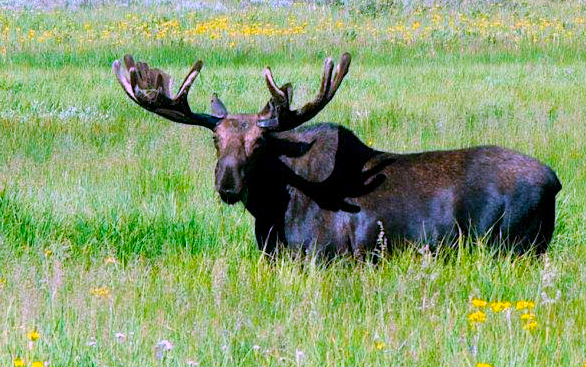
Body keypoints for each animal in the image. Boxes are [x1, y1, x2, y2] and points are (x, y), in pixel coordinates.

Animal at [112, 53, 560, 258]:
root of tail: (555, 182)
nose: (227, 184)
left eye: (260, 144)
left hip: (510, 246)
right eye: (215, 140)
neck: (271, 209)